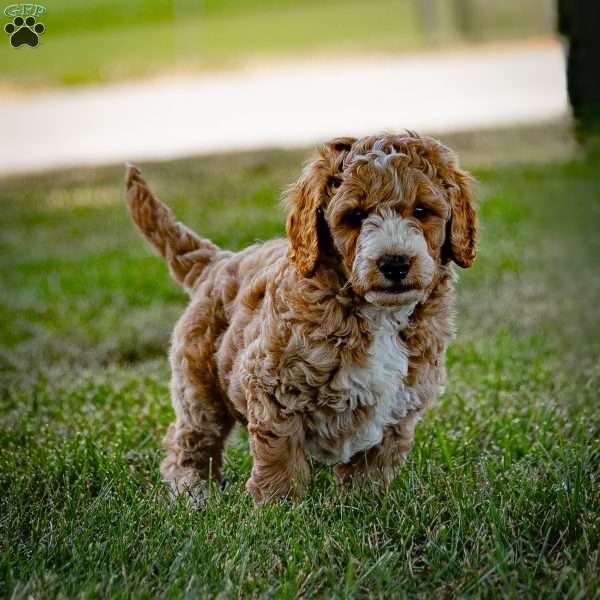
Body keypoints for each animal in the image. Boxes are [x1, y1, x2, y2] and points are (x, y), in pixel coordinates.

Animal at [125, 134, 478, 504]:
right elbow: (279, 453)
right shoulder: (272, 381)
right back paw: (194, 491)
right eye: (355, 216)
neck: (377, 314)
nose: (394, 263)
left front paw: (364, 504)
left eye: (422, 211)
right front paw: (277, 507)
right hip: (199, 385)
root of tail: (217, 261)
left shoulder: (399, 404)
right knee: (190, 440)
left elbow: (373, 464)